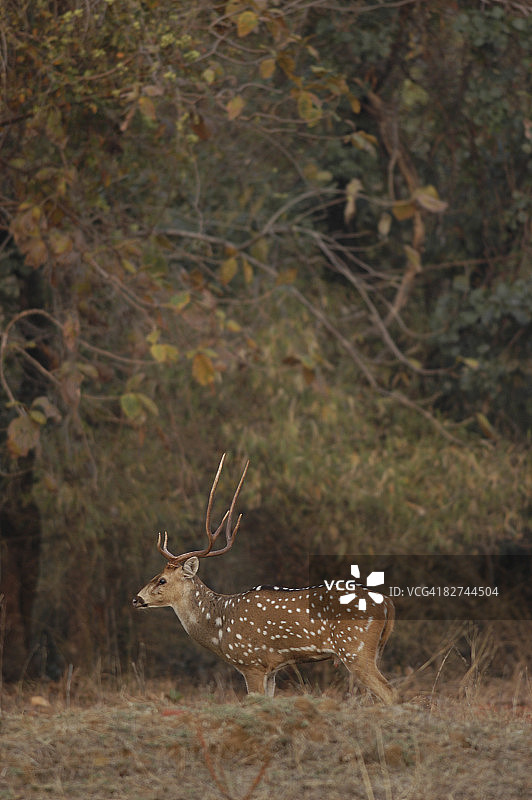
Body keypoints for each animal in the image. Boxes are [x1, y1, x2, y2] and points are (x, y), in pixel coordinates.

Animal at [132, 454, 395, 702]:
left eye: (162, 579)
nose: (136, 599)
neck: (219, 626)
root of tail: (388, 603)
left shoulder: (251, 662)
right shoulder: (272, 669)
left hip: (355, 648)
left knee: (389, 692)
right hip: (373, 651)